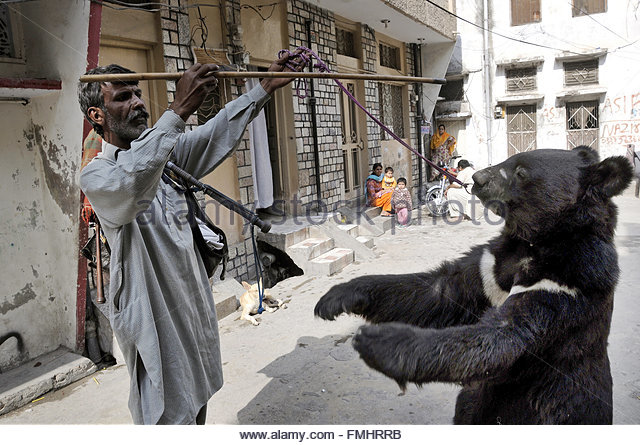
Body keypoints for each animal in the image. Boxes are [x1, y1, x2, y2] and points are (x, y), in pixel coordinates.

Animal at [314, 146, 632, 424]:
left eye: (521, 172)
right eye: (511, 158)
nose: (478, 179)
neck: (536, 243)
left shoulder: (568, 283)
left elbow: (501, 336)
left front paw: (379, 341)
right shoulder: (491, 267)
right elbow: (440, 291)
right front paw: (336, 297)